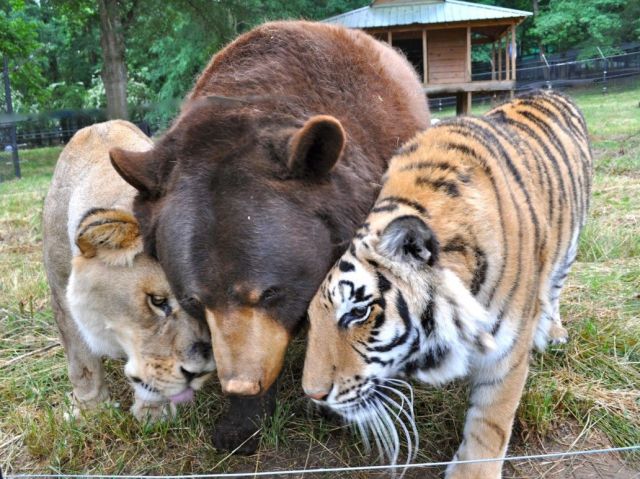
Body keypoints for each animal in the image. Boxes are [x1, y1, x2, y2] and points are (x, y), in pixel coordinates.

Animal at [43, 120, 215, 420]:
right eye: (157, 301)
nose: (200, 372)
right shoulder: (61, 295)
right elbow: (82, 363)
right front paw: (90, 411)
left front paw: (154, 413)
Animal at [302, 90, 592, 478]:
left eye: (358, 313)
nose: (313, 395)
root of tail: (549, 90)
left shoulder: (507, 351)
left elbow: (490, 421)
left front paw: (473, 472)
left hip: (570, 246)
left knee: (555, 288)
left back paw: (555, 331)